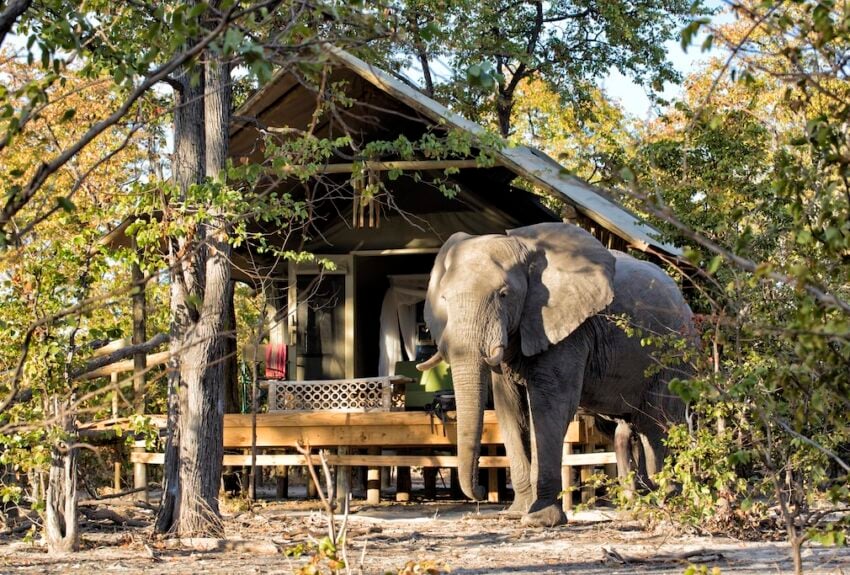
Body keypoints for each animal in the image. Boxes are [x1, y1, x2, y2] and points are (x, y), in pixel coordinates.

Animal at [416, 222, 694, 527]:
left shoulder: (568, 331)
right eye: (444, 299)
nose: (478, 491)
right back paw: (643, 506)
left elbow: (549, 405)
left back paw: (669, 503)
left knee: (658, 423)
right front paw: (517, 513)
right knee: (636, 426)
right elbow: (509, 408)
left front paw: (539, 519)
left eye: (504, 294)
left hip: (675, 357)